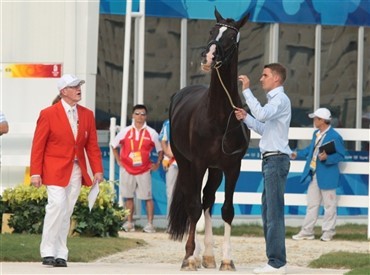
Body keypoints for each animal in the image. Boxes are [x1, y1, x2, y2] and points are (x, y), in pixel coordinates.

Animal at [168, 8, 250, 272]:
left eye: (231, 37)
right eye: (212, 31)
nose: (208, 57)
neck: (219, 116)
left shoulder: (233, 167)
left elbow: (227, 210)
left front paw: (226, 260)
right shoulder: (197, 163)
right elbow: (193, 208)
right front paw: (189, 259)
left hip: (215, 170)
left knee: (208, 199)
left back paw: (209, 256)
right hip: (185, 163)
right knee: (194, 202)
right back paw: (193, 255)